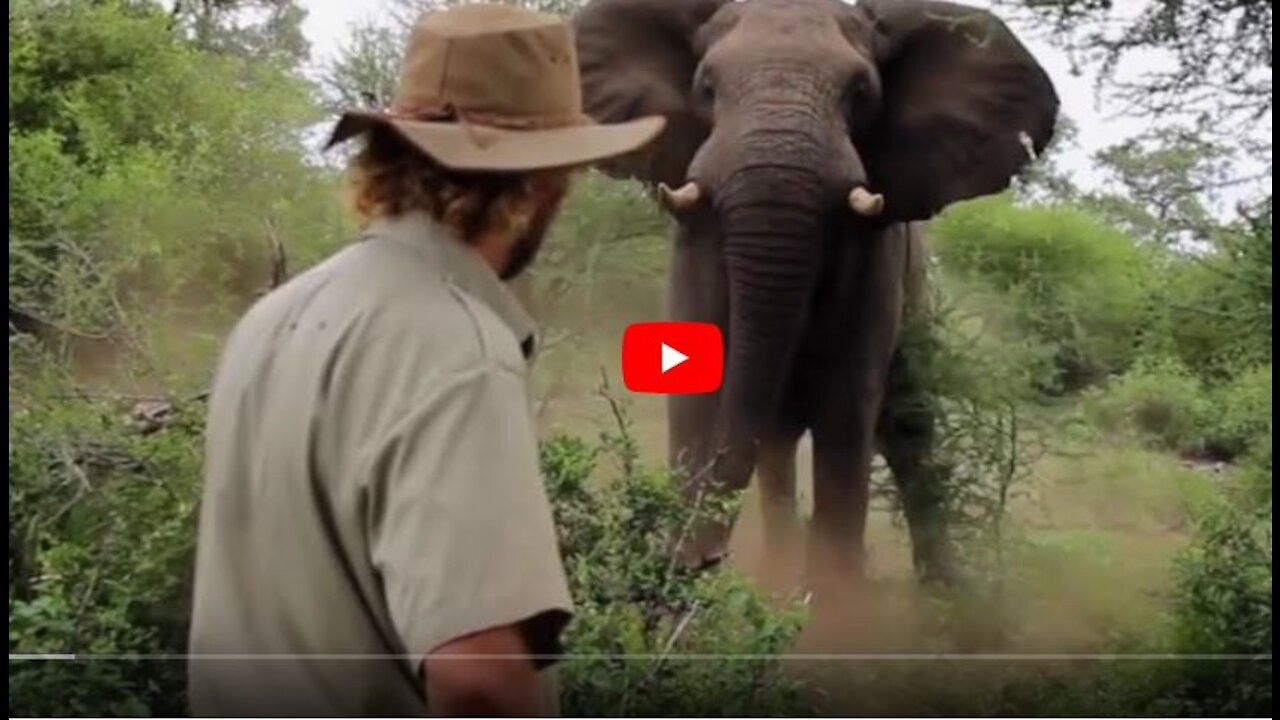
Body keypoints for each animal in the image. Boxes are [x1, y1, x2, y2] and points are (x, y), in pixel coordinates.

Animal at [573, 0, 1059, 589]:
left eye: (861, 92)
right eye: (706, 86)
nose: (704, 559)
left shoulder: (875, 258)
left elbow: (847, 410)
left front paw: (834, 603)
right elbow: (696, 385)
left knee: (910, 435)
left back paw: (941, 594)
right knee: (781, 443)